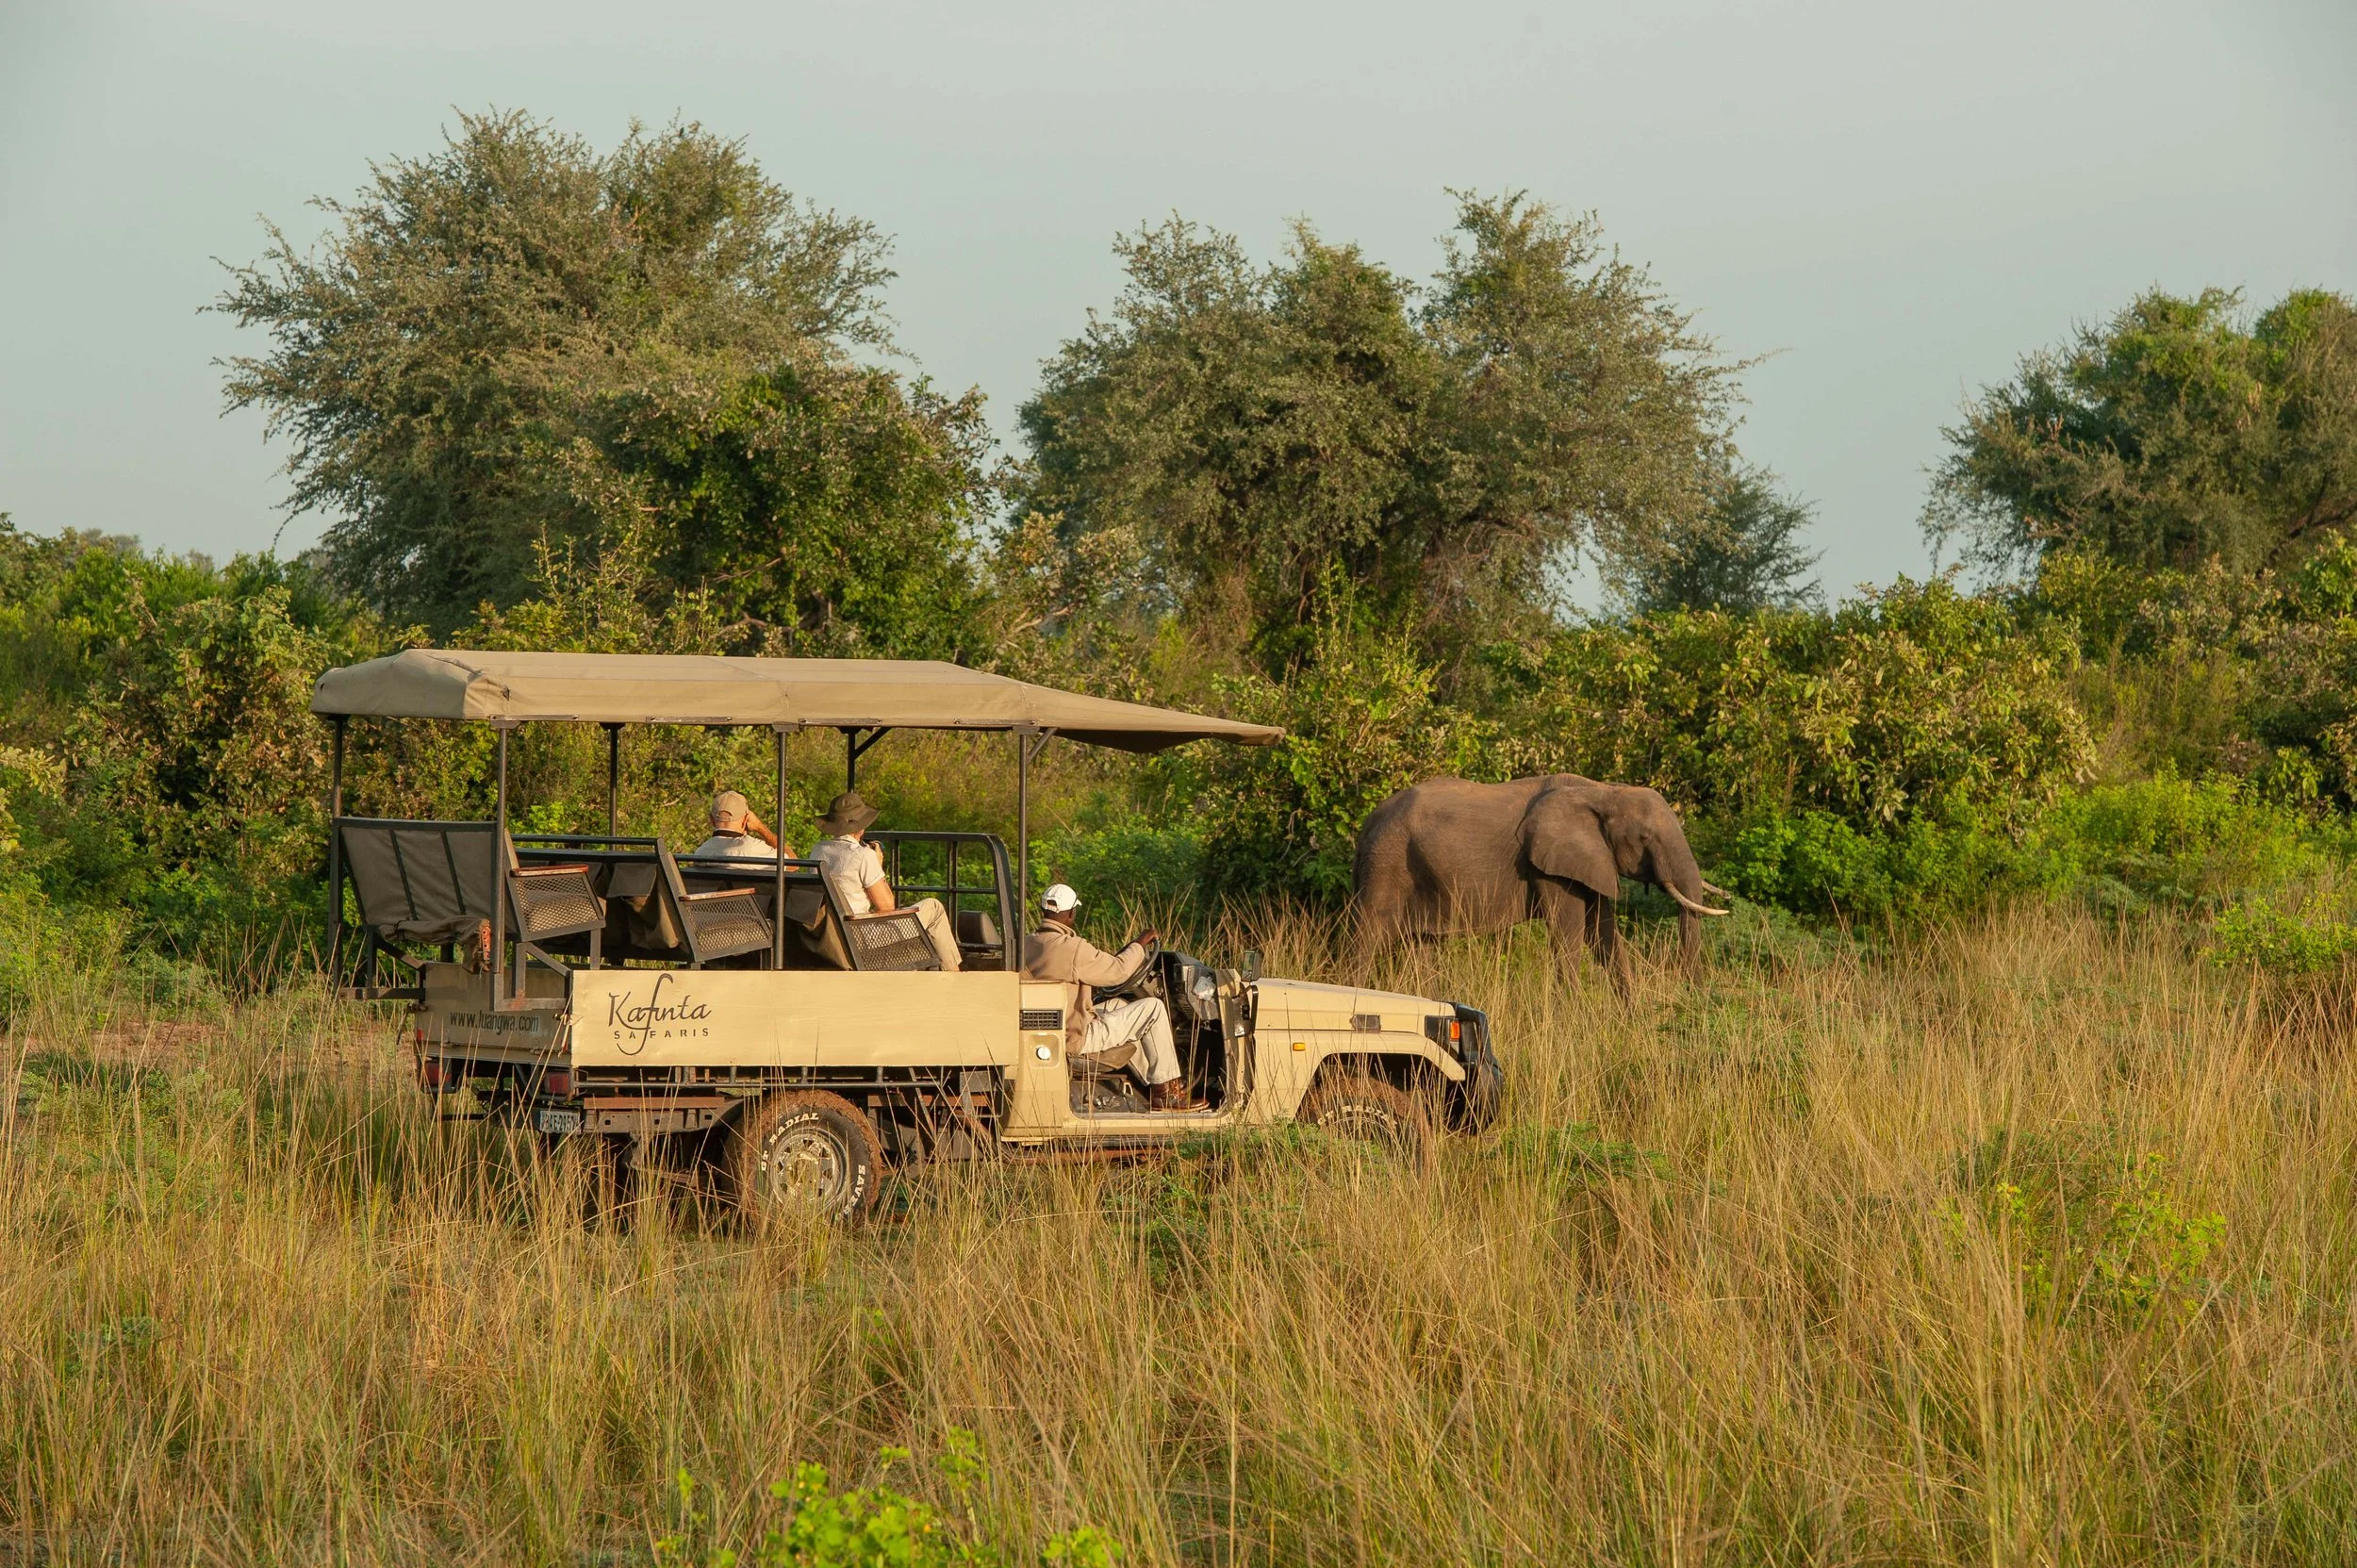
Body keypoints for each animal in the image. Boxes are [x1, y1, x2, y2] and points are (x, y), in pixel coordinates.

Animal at [1352, 775, 1730, 982]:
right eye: (1645, 838)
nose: (1693, 995)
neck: (1602, 791)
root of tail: (1368, 823)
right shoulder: (1549, 866)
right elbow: (1569, 935)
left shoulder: (1590, 860)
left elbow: (1604, 935)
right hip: (1386, 864)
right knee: (1365, 939)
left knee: (1422, 946)